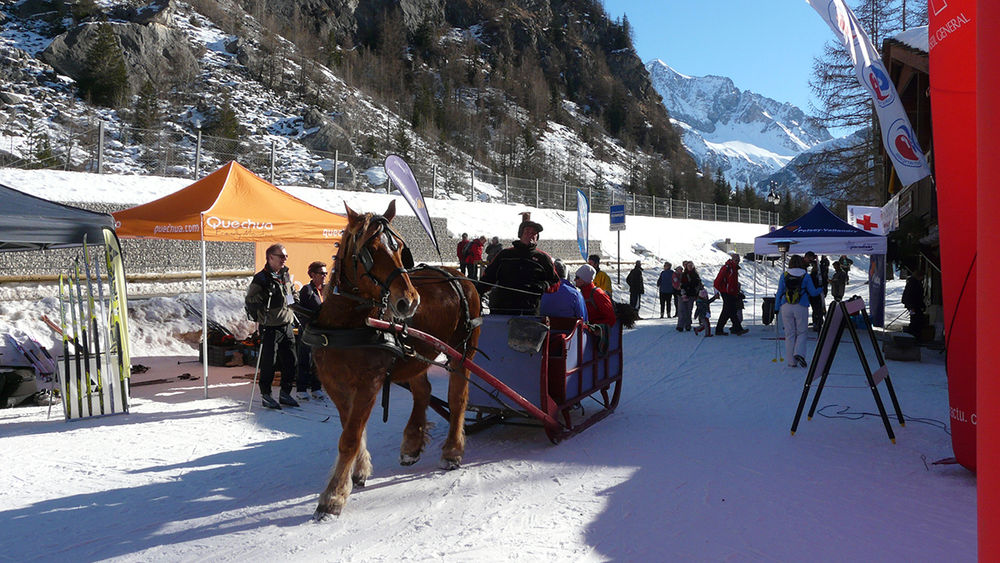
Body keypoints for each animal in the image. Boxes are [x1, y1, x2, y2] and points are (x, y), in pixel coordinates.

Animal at [307, 200, 481, 519]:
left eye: (399, 247)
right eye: (369, 250)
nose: (409, 301)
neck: (346, 325)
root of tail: (458, 274)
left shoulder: (369, 383)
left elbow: (349, 437)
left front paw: (333, 496)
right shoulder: (334, 383)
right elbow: (350, 427)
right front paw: (359, 470)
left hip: (463, 351)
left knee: (458, 397)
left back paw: (452, 450)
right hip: (417, 354)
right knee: (423, 392)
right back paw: (412, 442)